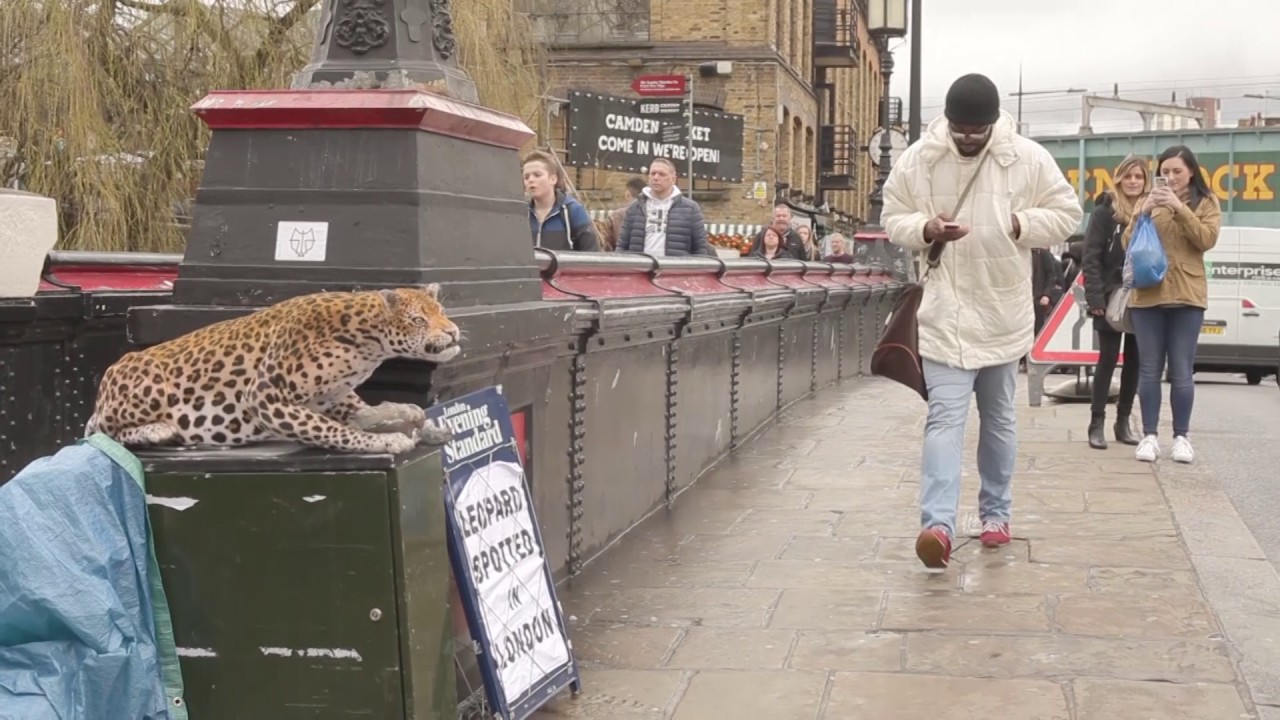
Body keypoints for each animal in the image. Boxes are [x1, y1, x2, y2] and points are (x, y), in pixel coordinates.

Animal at [81, 283, 460, 450]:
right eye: (419, 319)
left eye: (442, 312)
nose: (454, 332)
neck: (368, 344)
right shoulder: (265, 397)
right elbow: (330, 430)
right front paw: (384, 440)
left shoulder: (333, 395)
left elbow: (361, 411)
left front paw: (413, 418)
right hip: (148, 385)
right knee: (101, 430)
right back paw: (156, 430)